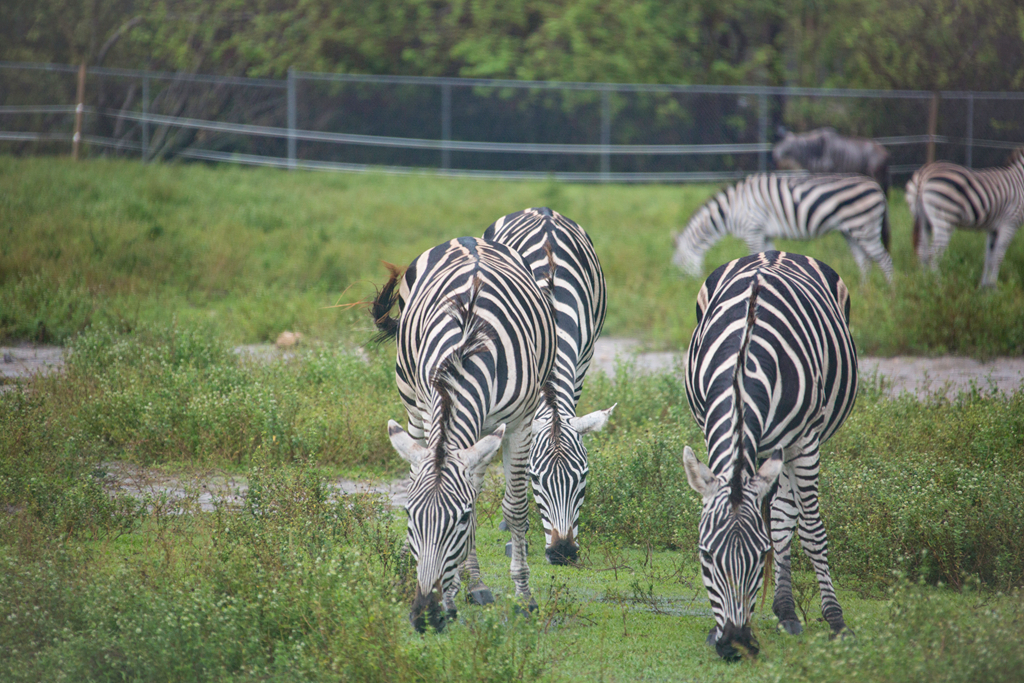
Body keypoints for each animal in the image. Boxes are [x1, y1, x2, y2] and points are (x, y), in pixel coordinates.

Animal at [372, 237, 557, 634]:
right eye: (409, 516)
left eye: (458, 519)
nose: (425, 616)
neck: (467, 351)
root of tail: (467, 240)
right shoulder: (430, 408)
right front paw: (453, 596)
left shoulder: (520, 424)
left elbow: (514, 509)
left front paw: (525, 598)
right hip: (412, 406)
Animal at [667, 175, 892, 284]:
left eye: (680, 262)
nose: (686, 284)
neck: (731, 210)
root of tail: (877, 187)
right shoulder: (765, 233)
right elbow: (765, 255)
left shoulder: (753, 229)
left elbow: (754, 255)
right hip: (850, 231)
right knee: (864, 262)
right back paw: (864, 293)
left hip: (865, 226)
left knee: (884, 260)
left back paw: (890, 297)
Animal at [684, 250, 860, 663]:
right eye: (705, 556)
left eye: (758, 554)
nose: (734, 644)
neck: (742, 365)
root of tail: (775, 251)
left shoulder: (805, 441)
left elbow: (810, 530)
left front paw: (836, 621)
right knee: (780, 511)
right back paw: (785, 609)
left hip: (795, 442)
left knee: (784, 516)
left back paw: (787, 610)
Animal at [905, 148, 1024, 286]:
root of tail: (923, 175)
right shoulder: (1010, 223)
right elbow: (998, 256)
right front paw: (993, 287)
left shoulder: (993, 228)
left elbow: (989, 256)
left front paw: (984, 287)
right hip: (944, 219)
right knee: (933, 254)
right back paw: (937, 285)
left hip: (923, 219)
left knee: (922, 251)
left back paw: (924, 283)